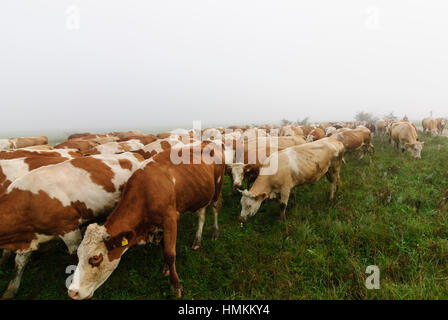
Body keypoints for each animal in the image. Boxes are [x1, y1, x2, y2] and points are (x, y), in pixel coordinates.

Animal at [0, 152, 144, 298]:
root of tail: (134, 153)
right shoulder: (28, 236)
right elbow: (19, 263)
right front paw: (10, 291)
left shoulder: (69, 230)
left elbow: (76, 254)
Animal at [67, 141, 226, 298]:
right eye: (78, 255)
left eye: (95, 258)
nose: (72, 292)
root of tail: (209, 142)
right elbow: (164, 246)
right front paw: (166, 267)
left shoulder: (171, 219)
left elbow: (170, 253)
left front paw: (176, 285)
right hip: (202, 193)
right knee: (202, 214)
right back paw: (197, 240)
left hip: (218, 185)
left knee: (216, 207)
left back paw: (215, 233)